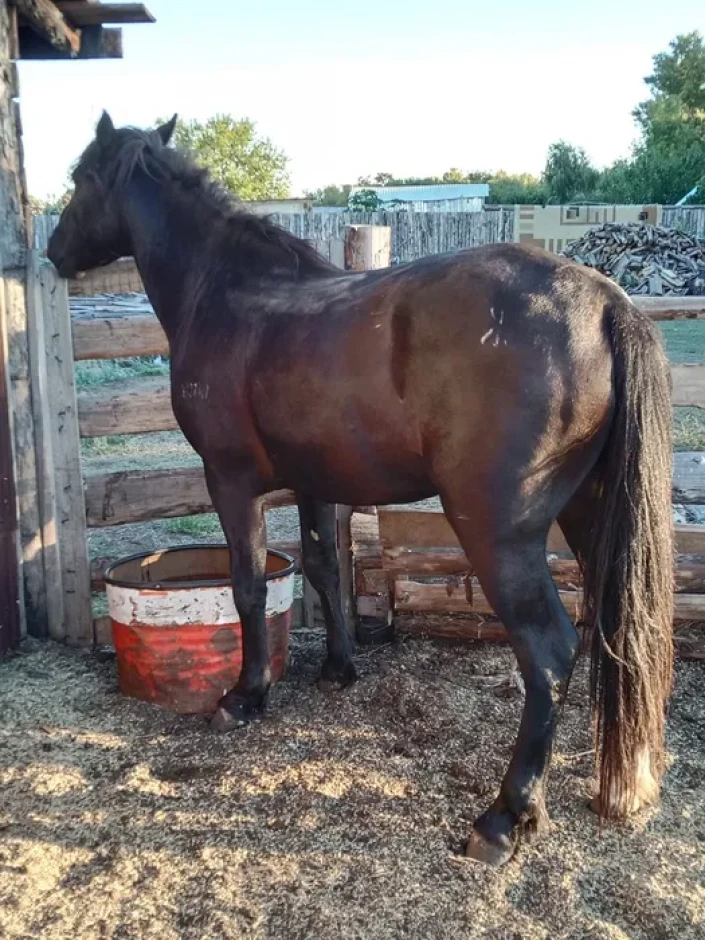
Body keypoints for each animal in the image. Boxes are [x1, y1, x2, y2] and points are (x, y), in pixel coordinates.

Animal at [48, 112, 674, 867]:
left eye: (82, 176)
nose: (52, 250)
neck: (227, 291)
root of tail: (605, 302)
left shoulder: (230, 481)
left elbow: (248, 584)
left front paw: (246, 696)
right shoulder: (314, 481)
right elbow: (322, 565)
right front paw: (339, 668)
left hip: (498, 532)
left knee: (548, 651)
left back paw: (504, 818)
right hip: (592, 517)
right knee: (618, 632)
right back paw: (621, 782)